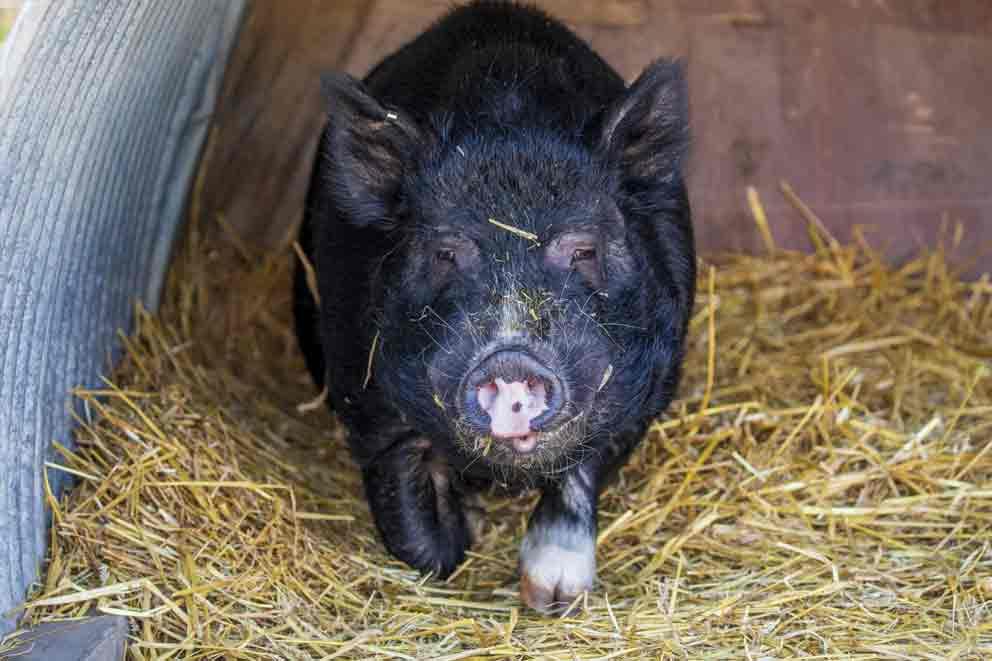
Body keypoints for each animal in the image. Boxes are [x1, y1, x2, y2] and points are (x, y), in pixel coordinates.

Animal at [294, 0, 696, 612]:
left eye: (584, 249)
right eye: (444, 252)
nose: (511, 360)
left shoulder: (648, 392)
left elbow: (579, 474)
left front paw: (553, 597)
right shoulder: (364, 398)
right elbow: (418, 536)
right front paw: (466, 530)